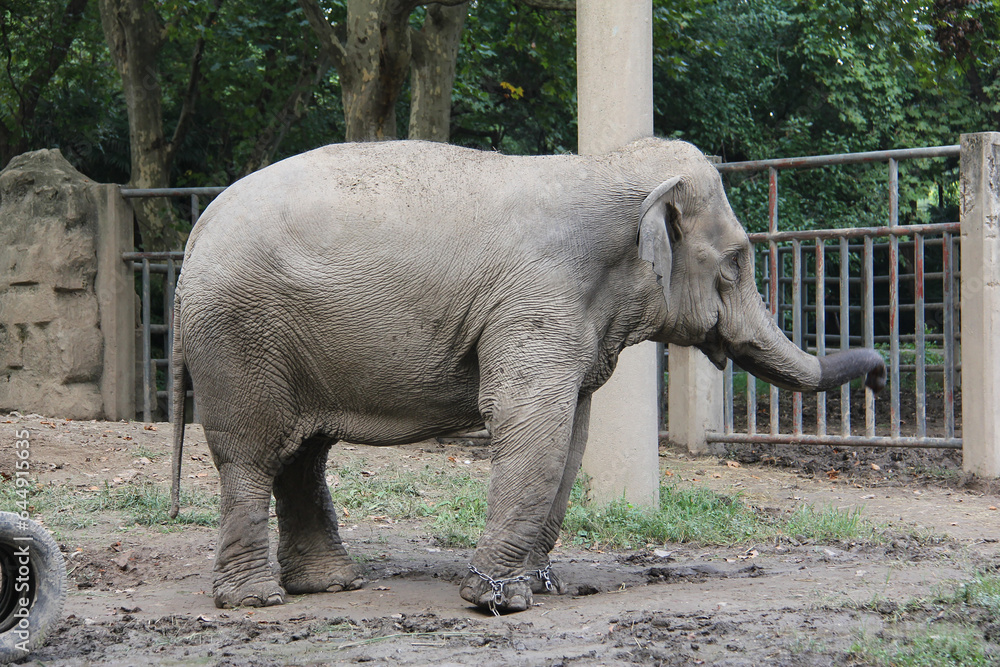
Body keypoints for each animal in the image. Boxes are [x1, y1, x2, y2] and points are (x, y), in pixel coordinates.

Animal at [168, 138, 885, 614]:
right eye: (735, 262)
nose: (879, 377)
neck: (608, 165)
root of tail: (198, 226)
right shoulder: (537, 298)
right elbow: (531, 420)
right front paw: (496, 601)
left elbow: (572, 431)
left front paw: (543, 587)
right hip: (239, 334)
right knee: (253, 452)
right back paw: (255, 601)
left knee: (304, 453)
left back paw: (330, 585)